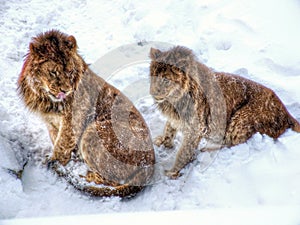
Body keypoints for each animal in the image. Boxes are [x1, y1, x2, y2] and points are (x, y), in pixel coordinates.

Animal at [17, 30, 155, 197]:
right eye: (53, 72)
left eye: (70, 71)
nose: (65, 90)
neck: (45, 99)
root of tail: (150, 166)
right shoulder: (50, 123)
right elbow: (56, 140)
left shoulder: (72, 120)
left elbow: (61, 145)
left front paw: (53, 163)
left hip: (94, 131)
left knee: (110, 182)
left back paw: (81, 176)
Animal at [149, 46, 300, 179]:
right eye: (153, 76)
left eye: (165, 79)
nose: (153, 92)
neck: (173, 101)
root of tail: (287, 113)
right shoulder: (176, 119)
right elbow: (169, 129)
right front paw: (163, 142)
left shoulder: (196, 129)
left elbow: (184, 152)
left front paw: (173, 171)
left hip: (239, 119)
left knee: (231, 143)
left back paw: (206, 150)